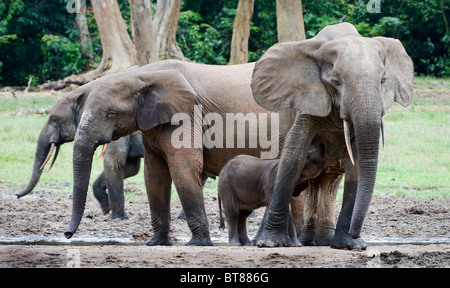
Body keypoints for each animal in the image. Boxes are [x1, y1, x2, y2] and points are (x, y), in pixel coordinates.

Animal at [62, 59, 284, 246]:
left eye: (111, 114)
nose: (67, 234)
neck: (144, 74)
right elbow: (154, 175)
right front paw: (155, 243)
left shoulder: (186, 116)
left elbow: (183, 170)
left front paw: (198, 244)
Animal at [251, 22, 414, 250]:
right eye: (336, 81)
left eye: (383, 80)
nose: (356, 233)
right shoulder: (308, 99)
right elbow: (294, 156)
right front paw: (270, 243)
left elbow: (356, 166)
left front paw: (350, 245)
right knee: (311, 181)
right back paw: (305, 242)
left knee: (330, 180)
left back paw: (324, 241)